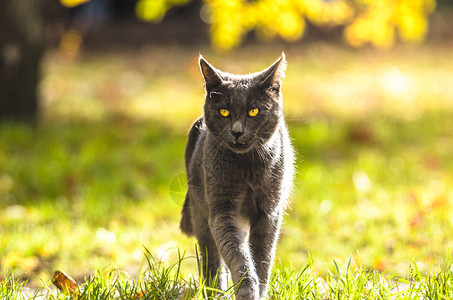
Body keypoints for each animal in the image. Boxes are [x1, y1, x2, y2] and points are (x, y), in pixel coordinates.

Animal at [180, 54, 294, 300]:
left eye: (254, 112)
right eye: (224, 112)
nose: (237, 131)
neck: (248, 171)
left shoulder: (268, 213)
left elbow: (262, 259)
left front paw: (260, 292)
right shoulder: (222, 211)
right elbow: (238, 257)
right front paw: (247, 291)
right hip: (200, 209)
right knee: (211, 258)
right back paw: (215, 292)